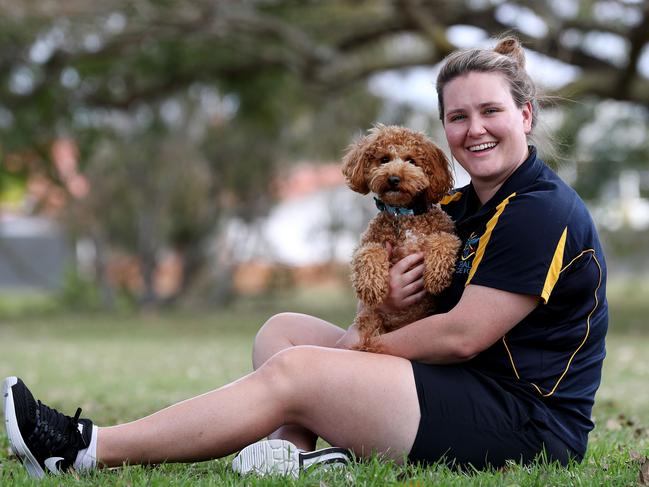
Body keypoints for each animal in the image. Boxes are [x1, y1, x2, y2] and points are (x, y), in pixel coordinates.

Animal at [344, 124, 460, 352]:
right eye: (384, 159)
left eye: (411, 160)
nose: (393, 179)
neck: (403, 214)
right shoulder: (368, 242)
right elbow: (368, 252)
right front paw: (371, 286)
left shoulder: (447, 232)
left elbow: (444, 241)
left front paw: (436, 277)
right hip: (370, 318)